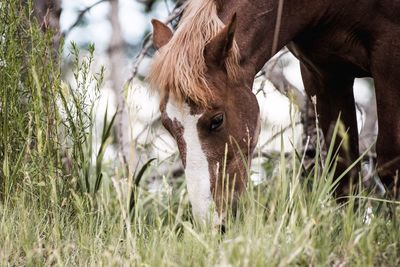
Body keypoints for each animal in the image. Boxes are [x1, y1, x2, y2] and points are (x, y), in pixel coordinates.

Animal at [148, 0, 400, 228]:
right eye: (168, 126)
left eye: (217, 120)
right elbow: (343, 171)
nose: (212, 224)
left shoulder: (389, 57)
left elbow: (390, 163)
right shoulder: (325, 74)